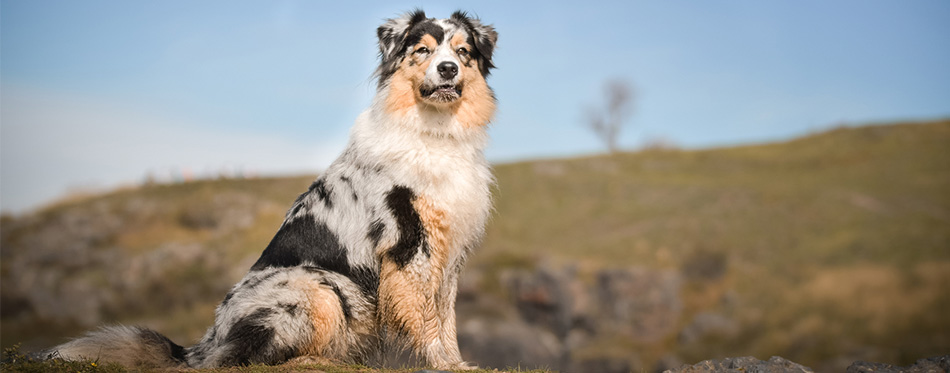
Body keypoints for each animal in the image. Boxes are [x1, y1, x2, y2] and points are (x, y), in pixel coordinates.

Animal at [44, 8, 498, 370]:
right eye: (422, 50)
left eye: (462, 52)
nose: (448, 70)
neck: (435, 132)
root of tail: (205, 341)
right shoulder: (409, 244)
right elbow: (424, 319)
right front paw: (438, 364)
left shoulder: (448, 250)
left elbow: (445, 316)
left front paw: (457, 362)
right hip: (318, 286)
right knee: (243, 358)